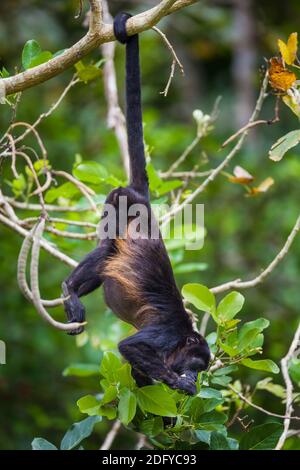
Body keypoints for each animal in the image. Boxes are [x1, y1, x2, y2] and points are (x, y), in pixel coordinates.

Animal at [62, 11, 210, 392]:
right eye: (197, 364)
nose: (196, 376)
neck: (182, 337)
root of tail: (141, 198)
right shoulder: (166, 334)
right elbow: (131, 346)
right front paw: (178, 384)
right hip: (118, 201)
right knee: (106, 250)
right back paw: (70, 290)